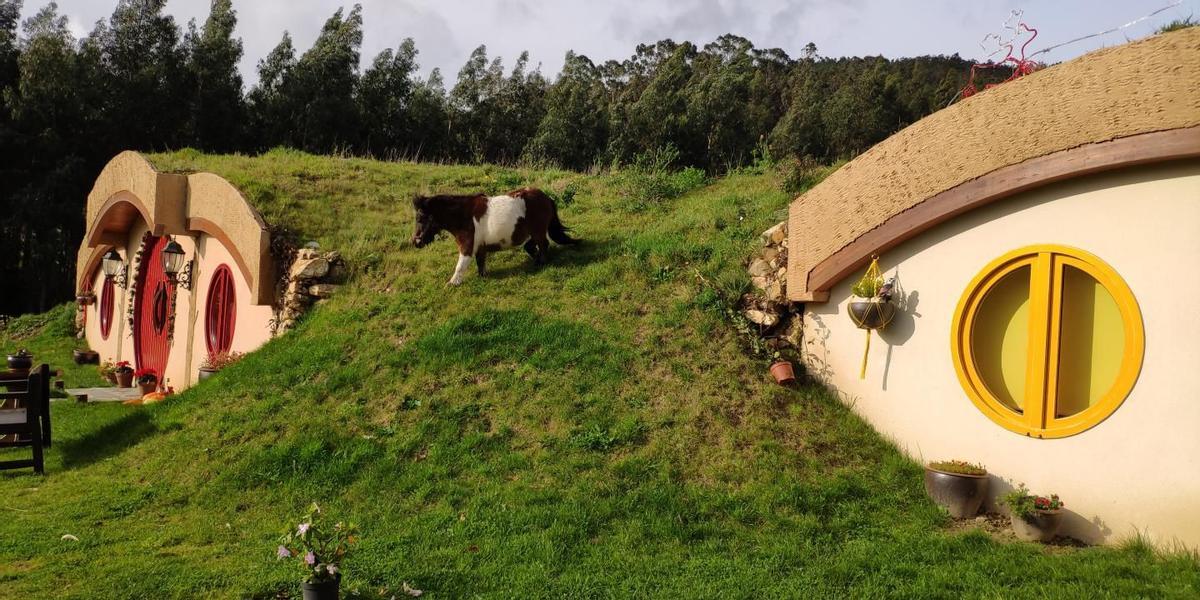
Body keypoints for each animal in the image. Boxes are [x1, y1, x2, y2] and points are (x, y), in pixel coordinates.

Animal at [412, 186, 580, 284]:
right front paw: (482, 277)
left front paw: (452, 283)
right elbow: (481, 263)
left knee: (543, 245)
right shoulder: (480, 247)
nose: (415, 242)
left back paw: (542, 263)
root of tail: (546, 197)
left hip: (538, 231)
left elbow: (460, 266)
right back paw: (537, 261)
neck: (463, 216)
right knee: (531, 246)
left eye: (420, 218)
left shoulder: (467, 247)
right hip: (533, 232)